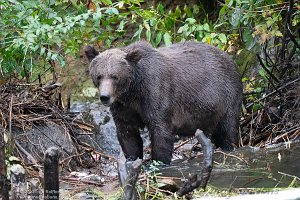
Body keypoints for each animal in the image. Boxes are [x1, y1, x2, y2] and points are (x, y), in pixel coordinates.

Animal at [85, 40, 244, 164]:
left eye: (115, 76)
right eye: (99, 76)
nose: (105, 96)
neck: (133, 91)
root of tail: (231, 59)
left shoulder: (156, 92)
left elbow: (160, 129)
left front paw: (159, 161)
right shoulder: (124, 106)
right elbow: (127, 132)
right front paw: (132, 158)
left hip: (227, 95)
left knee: (228, 128)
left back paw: (230, 147)